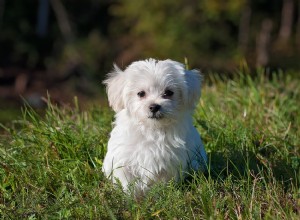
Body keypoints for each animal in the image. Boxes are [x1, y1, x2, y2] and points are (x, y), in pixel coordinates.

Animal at [102, 58, 207, 194]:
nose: (154, 106)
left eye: (168, 92)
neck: (152, 129)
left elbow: (162, 181)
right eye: (141, 93)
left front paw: (159, 193)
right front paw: (132, 195)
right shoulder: (123, 159)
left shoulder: (169, 162)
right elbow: (127, 179)